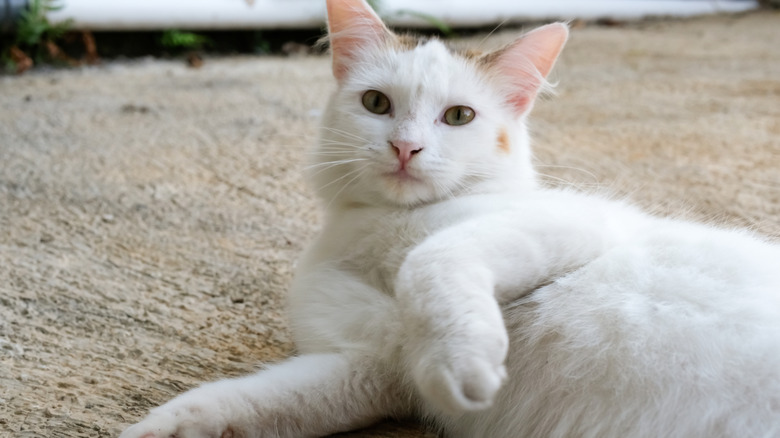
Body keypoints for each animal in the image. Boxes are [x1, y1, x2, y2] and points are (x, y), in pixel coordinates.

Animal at [117, 0, 780, 438]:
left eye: (459, 116)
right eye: (376, 103)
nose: (405, 147)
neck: (372, 231)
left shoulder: (577, 225)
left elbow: (431, 259)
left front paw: (466, 363)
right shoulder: (368, 371)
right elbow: (242, 405)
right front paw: (160, 429)